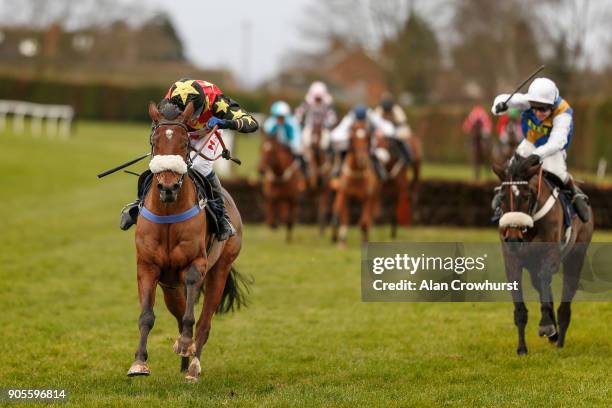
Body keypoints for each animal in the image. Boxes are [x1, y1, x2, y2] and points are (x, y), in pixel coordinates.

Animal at [128, 102, 247, 382]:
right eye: (155, 141)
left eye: (184, 143)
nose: (168, 187)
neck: (168, 213)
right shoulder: (147, 266)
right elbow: (146, 316)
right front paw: (139, 363)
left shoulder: (196, 263)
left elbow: (192, 311)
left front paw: (184, 343)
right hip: (170, 287)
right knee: (179, 309)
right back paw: (184, 361)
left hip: (220, 270)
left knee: (204, 322)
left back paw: (193, 366)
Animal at [492, 155, 592, 354]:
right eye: (502, 197)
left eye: (526, 195)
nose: (513, 238)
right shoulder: (512, 260)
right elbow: (520, 306)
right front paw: (522, 348)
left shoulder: (551, 255)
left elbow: (546, 276)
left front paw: (546, 324)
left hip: (576, 257)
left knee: (566, 296)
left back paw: (559, 340)